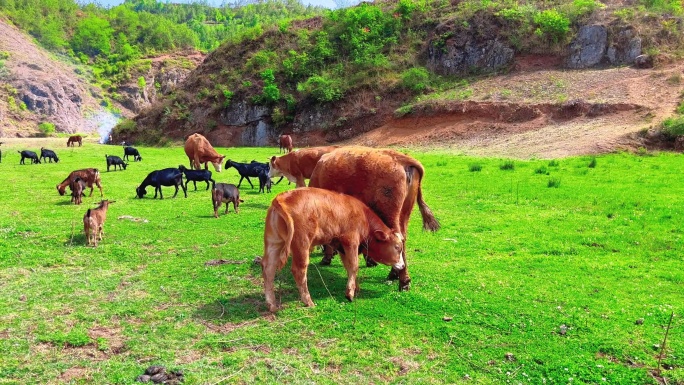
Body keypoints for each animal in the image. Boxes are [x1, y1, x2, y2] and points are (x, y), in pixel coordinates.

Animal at [264, 187, 406, 312]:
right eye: (397, 247)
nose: (403, 265)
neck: (363, 217)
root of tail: (282, 198)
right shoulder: (350, 241)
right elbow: (354, 266)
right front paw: (350, 293)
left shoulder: (341, 246)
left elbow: (349, 267)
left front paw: (355, 287)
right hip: (302, 243)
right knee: (299, 270)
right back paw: (308, 301)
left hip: (274, 243)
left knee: (268, 269)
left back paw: (272, 304)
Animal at [308, 147, 440, 292]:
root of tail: (401, 158)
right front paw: (370, 260)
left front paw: (327, 258)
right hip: (404, 213)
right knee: (403, 238)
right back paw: (398, 276)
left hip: (389, 214)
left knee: (397, 239)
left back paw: (402, 280)